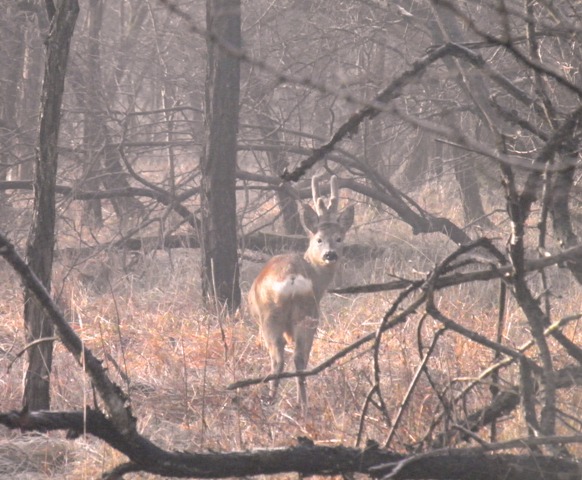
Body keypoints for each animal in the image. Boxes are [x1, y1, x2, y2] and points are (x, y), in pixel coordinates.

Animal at [248, 174, 356, 410]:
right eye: (319, 239)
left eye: (339, 238)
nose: (330, 254)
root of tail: (292, 278)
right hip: (307, 313)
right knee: (299, 357)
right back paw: (302, 404)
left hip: (273, 317)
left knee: (281, 358)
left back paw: (272, 400)